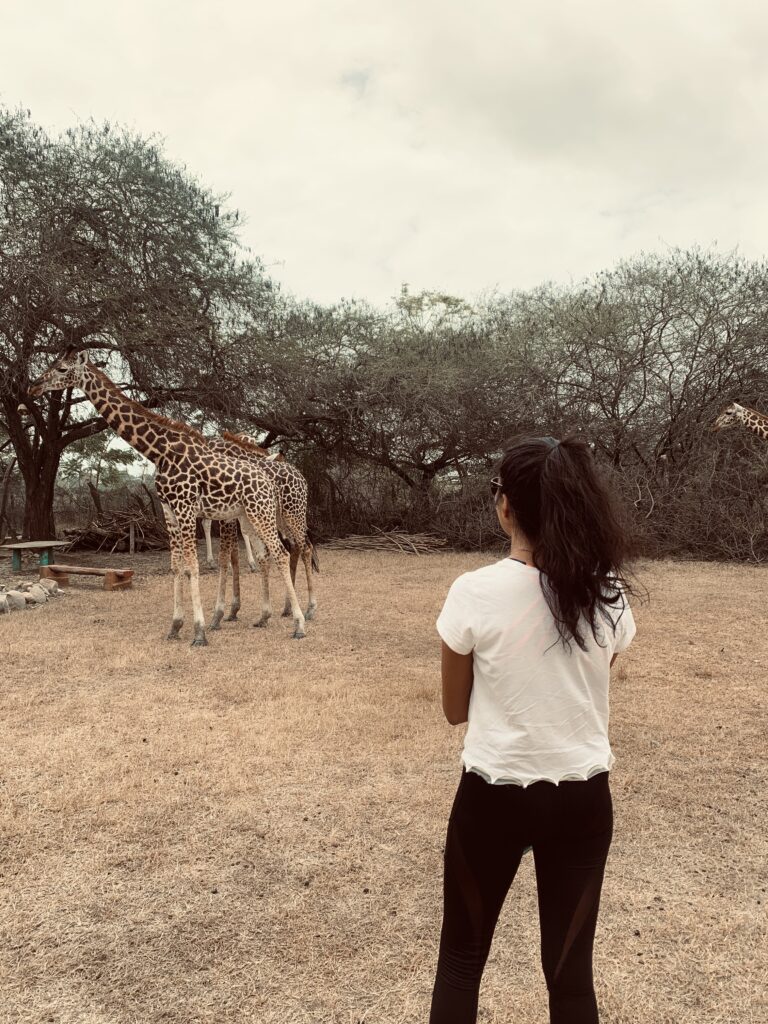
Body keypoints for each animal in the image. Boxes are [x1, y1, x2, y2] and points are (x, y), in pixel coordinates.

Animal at [26, 350, 308, 644]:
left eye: (62, 368)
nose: (34, 386)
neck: (159, 452)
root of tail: (269, 482)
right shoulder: (169, 511)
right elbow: (177, 566)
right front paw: (175, 626)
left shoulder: (186, 508)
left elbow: (194, 565)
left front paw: (200, 631)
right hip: (248, 516)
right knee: (271, 554)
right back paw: (268, 616)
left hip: (263, 513)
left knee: (283, 552)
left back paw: (299, 623)